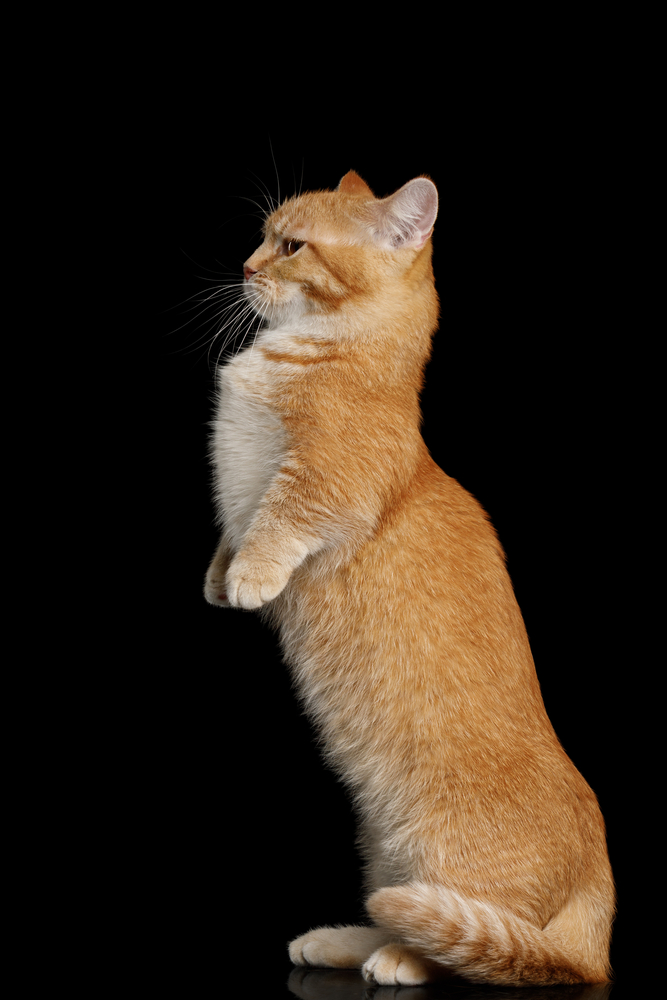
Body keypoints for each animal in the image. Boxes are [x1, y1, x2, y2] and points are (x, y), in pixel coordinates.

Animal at [204, 170, 616, 984]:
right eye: (265, 236)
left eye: (291, 245)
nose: (244, 267)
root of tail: (600, 890)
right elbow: (233, 527)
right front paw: (218, 573)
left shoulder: (331, 485)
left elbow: (281, 517)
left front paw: (250, 576)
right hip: (384, 848)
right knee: (401, 908)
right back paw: (338, 941)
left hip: (446, 859)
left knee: (479, 940)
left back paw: (397, 959)